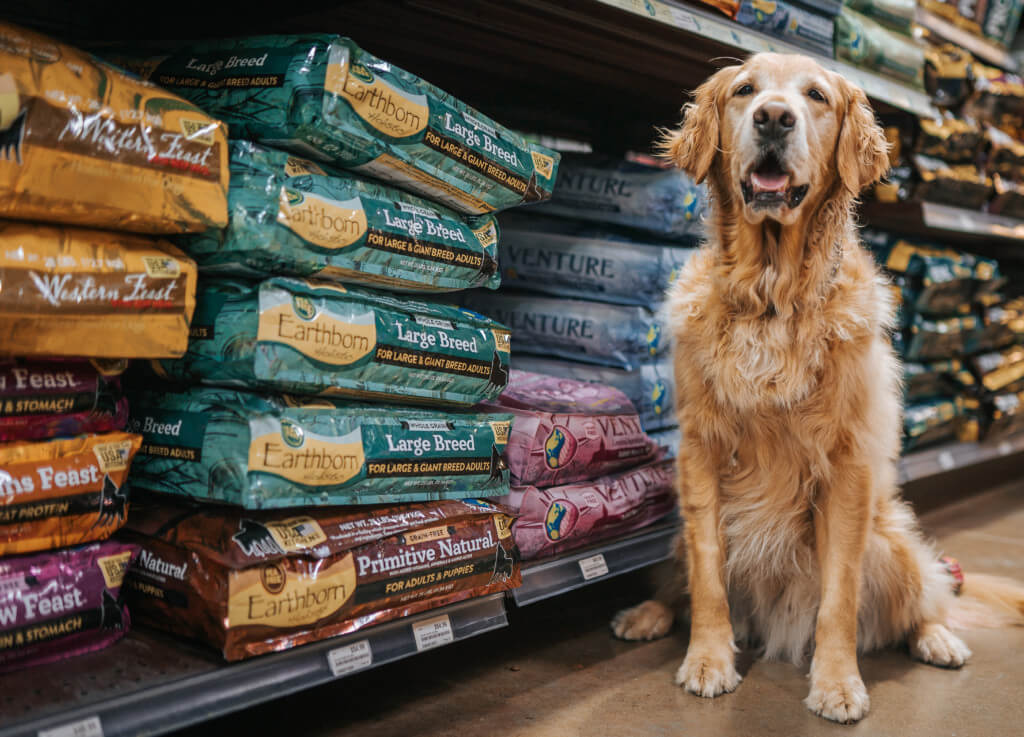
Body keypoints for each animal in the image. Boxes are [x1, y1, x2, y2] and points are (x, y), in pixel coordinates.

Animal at [610, 53, 1019, 724]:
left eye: (817, 96)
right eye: (745, 90)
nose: (773, 117)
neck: (771, 295)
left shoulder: (847, 465)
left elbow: (839, 598)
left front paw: (837, 682)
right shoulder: (699, 452)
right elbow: (707, 576)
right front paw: (708, 659)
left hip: (891, 542)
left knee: (929, 595)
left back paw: (937, 638)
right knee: (678, 581)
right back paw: (646, 615)